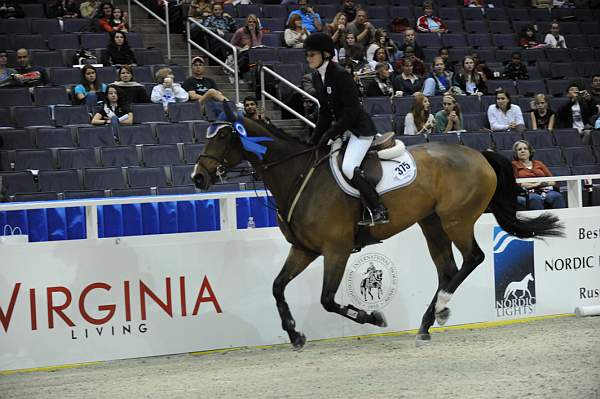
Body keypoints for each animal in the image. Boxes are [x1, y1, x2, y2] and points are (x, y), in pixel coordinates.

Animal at [191, 108, 564, 350]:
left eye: (223, 136)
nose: (198, 177)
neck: (298, 175)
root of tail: (479, 154)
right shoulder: (304, 249)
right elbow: (277, 287)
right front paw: (295, 334)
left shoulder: (336, 250)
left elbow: (328, 300)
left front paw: (374, 318)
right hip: (431, 223)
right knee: (448, 270)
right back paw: (427, 322)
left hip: (455, 220)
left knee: (473, 258)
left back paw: (441, 308)